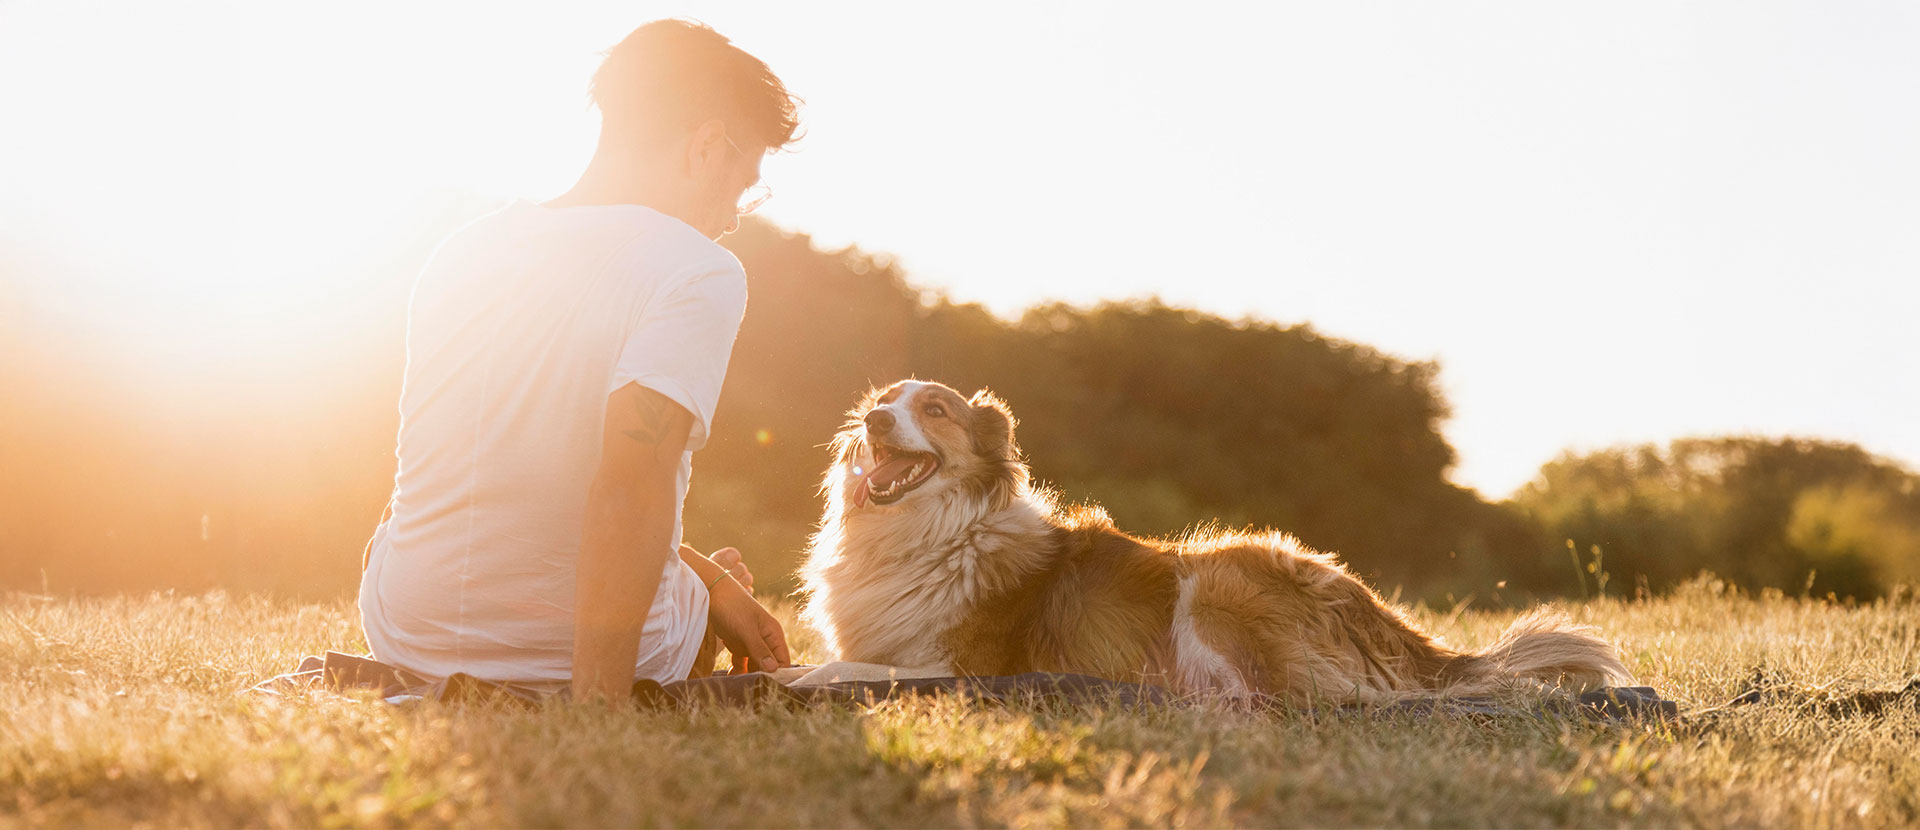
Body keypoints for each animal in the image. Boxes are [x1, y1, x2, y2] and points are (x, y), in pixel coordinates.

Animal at [798, 380, 1635, 699]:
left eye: (934, 409)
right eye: (884, 401)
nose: (873, 420)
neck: (926, 532)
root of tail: (1382, 617)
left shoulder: (964, 665)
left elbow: (852, 666)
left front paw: (805, 678)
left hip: (1215, 578)